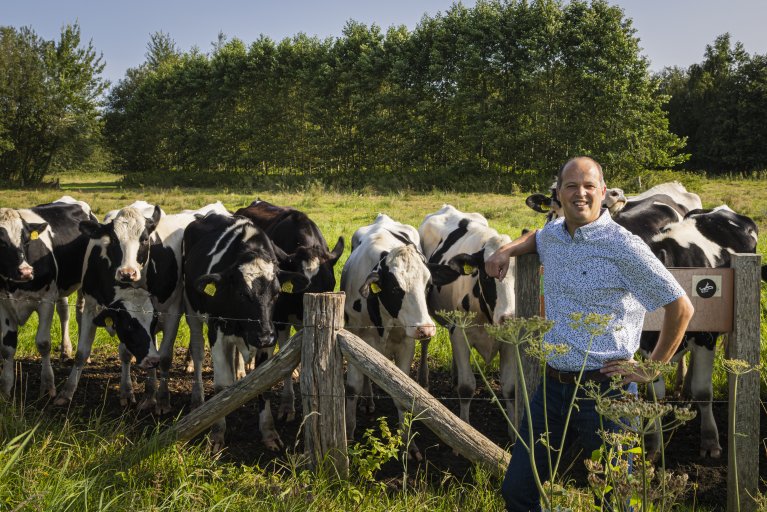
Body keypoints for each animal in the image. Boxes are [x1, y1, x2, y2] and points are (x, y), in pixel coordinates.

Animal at [0, 196, 94, 400]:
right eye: (0, 241)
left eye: (26, 240)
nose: (26, 271)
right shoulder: (3, 304)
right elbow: (7, 347)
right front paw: (6, 388)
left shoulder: (46, 300)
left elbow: (43, 343)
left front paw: (48, 385)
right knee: (64, 312)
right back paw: (65, 349)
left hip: (81, 285)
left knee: (79, 313)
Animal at [183, 212, 308, 452]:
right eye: (242, 293)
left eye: (277, 293)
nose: (265, 336)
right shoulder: (217, 331)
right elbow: (221, 385)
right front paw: (216, 433)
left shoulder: (267, 340)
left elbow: (263, 385)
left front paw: (269, 433)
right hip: (191, 312)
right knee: (197, 350)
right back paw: (197, 398)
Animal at [232, 199, 344, 420]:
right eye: (301, 286)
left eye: (330, 283)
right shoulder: (279, 318)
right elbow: (284, 356)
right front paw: (287, 405)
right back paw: (242, 369)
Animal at [344, 212, 462, 460]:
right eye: (396, 289)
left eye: (428, 284)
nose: (425, 328)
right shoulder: (352, 338)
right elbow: (352, 390)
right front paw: (348, 435)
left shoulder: (407, 345)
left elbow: (402, 393)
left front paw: (408, 444)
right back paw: (368, 400)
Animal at [416, 204, 520, 436]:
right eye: (487, 276)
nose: (509, 318)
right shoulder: (461, 335)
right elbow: (466, 387)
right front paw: (465, 427)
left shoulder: (510, 343)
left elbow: (510, 388)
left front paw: (513, 433)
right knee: (426, 341)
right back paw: (424, 379)